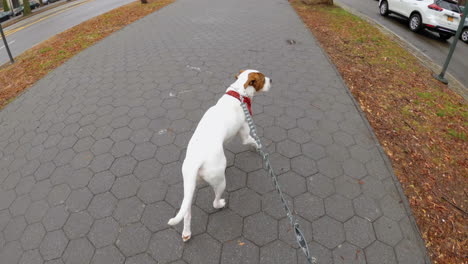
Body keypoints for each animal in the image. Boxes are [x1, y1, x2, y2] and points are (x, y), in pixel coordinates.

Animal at [168, 69, 272, 241]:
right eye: (263, 79)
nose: (272, 80)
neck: (239, 93)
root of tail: (197, 161)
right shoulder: (245, 134)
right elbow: (253, 142)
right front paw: (260, 149)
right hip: (219, 182)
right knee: (215, 201)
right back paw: (221, 203)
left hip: (189, 185)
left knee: (187, 211)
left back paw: (186, 233)